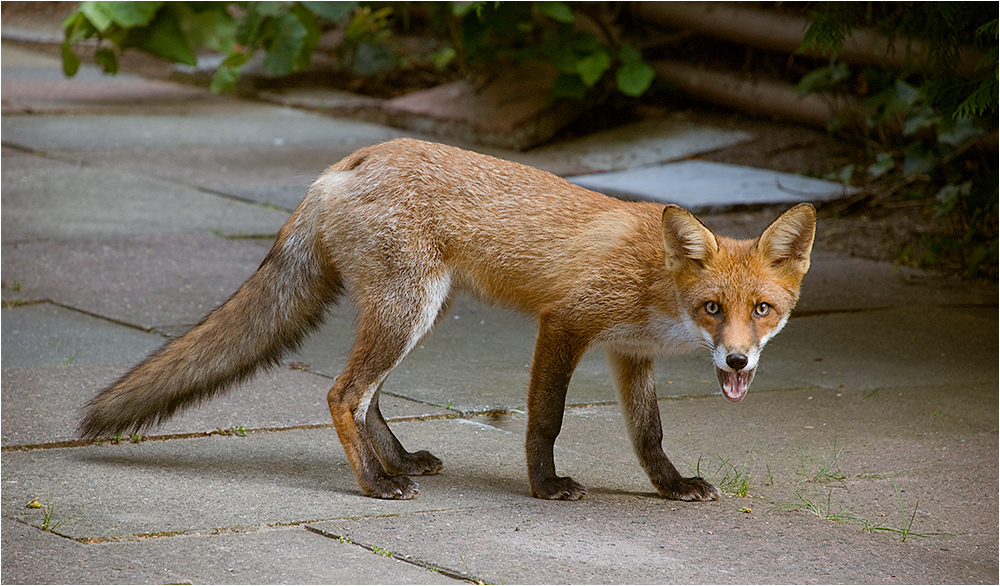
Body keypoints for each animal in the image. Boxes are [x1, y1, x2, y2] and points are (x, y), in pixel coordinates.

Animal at [76, 136, 812, 498]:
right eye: (713, 308)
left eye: (763, 311)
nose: (737, 359)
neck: (658, 283)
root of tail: (346, 164)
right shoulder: (564, 323)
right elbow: (546, 420)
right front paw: (545, 487)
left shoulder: (629, 353)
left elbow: (649, 435)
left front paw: (672, 486)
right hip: (410, 309)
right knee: (342, 393)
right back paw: (376, 484)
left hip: (420, 313)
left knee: (368, 397)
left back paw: (398, 462)